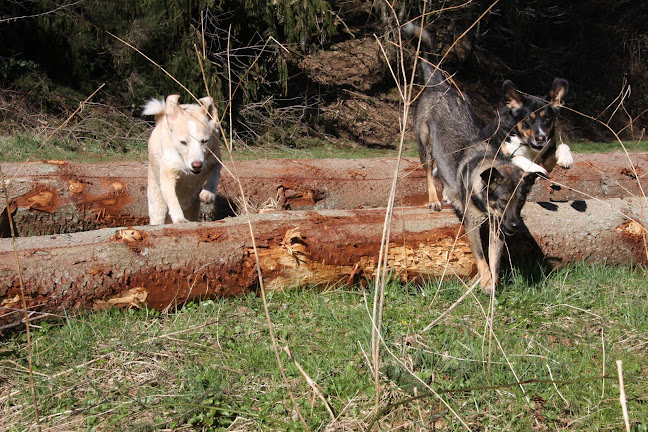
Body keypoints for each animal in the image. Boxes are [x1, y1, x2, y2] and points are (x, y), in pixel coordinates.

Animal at [142, 95, 223, 226]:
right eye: (183, 142)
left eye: (204, 141)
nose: (197, 165)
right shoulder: (168, 175)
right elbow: (173, 199)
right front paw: (179, 218)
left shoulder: (215, 160)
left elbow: (215, 175)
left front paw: (208, 193)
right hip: (158, 207)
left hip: (192, 208)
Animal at [402, 23, 540, 294]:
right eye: (503, 200)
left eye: (520, 202)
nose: (516, 227)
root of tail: (439, 85)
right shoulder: (473, 226)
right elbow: (482, 259)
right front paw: (485, 283)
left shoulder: (498, 229)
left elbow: (495, 260)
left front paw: (494, 283)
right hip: (425, 145)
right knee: (429, 171)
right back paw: (435, 199)